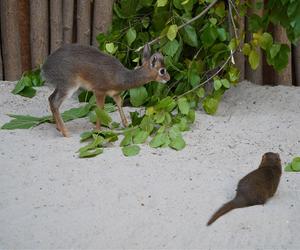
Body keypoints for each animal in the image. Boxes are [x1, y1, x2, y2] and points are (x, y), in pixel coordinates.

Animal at [41, 43, 170, 137]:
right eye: (162, 71)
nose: (168, 78)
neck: (121, 76)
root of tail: (45, 67)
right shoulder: (99, 91)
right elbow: (100, 108)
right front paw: (98, 130)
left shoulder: (114, 93)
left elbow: (119, 103)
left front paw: (126, 124)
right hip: (68, 86)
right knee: (55, 102)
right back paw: (66, 132)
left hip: (60, 86)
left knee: (50, 98)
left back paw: (58, 127)